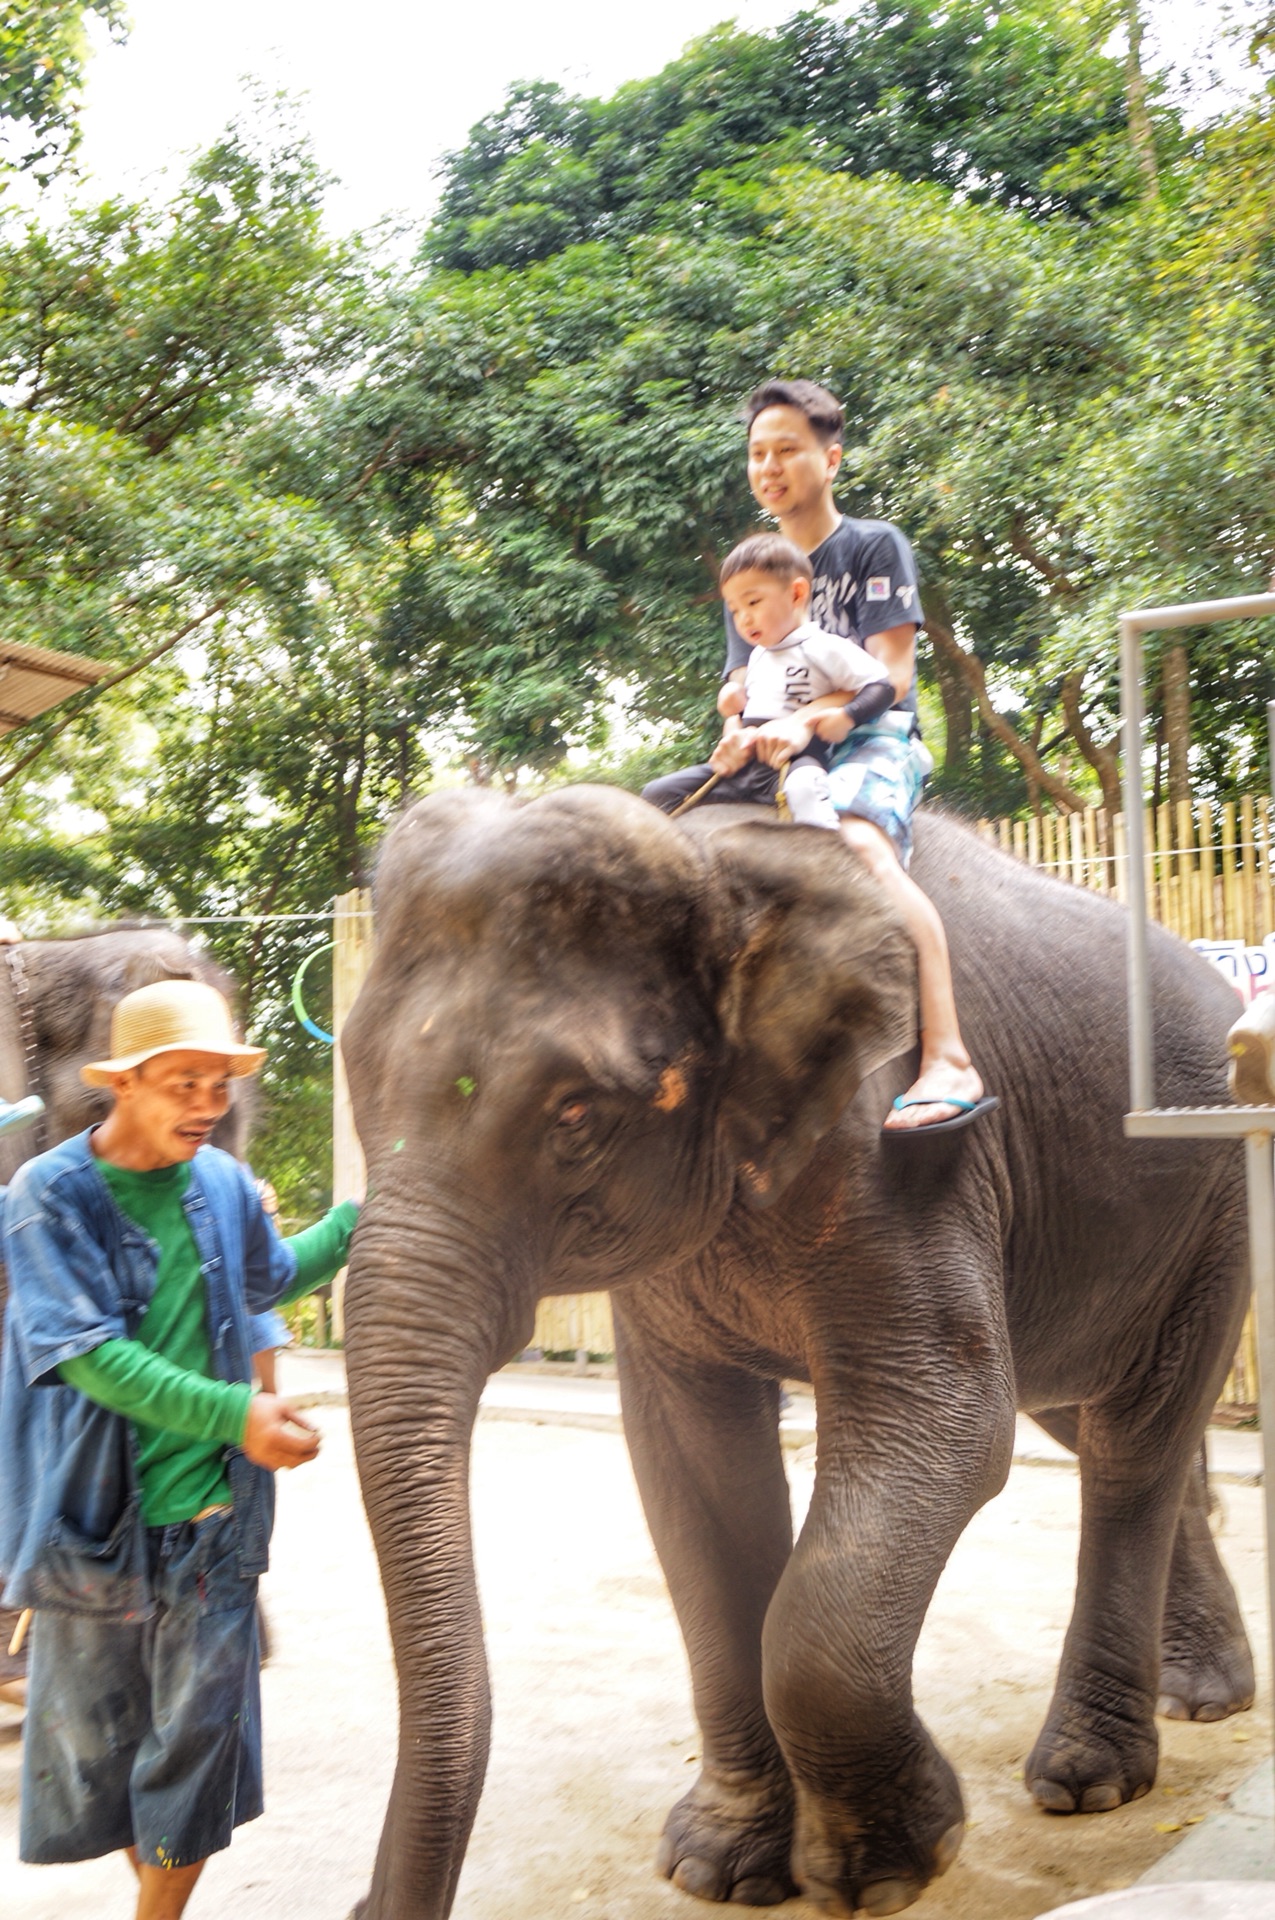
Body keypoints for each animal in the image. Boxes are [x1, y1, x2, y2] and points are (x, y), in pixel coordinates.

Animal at [341, 783, 1251, 1920]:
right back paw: (1198, 1698)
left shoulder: (900, 1153)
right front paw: (722, 1868)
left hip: (1215, 1179)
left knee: (1134, 1441)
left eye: (576, 1116)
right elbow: (690, 1463)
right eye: (350, 1077)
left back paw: (1089, 1779)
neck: (712, 870)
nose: (361, 1906)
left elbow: (950, 1421)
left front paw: (897, 1864)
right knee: (1094, 1421)